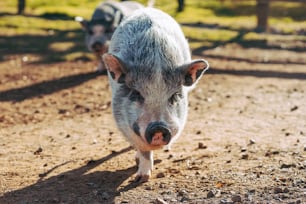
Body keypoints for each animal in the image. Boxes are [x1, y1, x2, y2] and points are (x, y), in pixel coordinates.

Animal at [101, 7, 209, 182]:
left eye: (174, 95)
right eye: (137, 94)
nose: (159, 128)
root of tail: (147, 9)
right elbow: (143, 150)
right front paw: (141, 178)